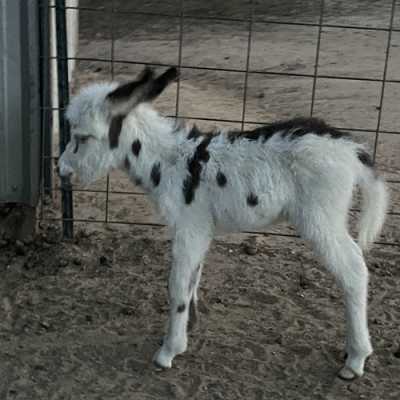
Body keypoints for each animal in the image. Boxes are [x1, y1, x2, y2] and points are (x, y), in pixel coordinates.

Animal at [58, 67, 388, 380]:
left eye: (82, 137)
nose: (61, 170)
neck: (167, 162)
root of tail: (349, 148)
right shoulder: (200, 230)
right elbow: (193, 279)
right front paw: (189, 327)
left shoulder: (188, 227)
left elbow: (177, 286)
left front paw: (169, 350)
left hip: (320, 218)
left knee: (354, 270)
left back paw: (356, 359)